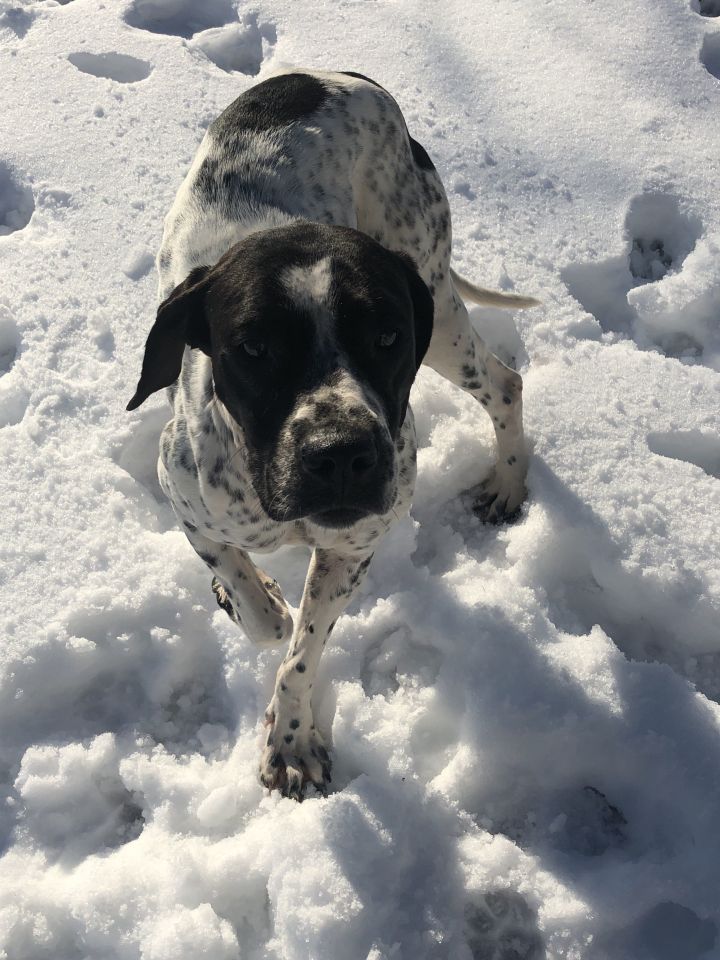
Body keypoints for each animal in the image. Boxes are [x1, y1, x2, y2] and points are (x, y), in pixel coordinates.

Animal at [126, 67, 536, 800]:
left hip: (439, 305)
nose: (342, 457)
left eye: (387, 335)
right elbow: (266, 617)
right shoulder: (184, 496)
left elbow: (301, 651)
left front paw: (290, 738)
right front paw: (250, 593)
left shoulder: (352, 548)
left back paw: (507, 485)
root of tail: (351, 78)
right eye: (253, 347)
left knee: (506, 381)